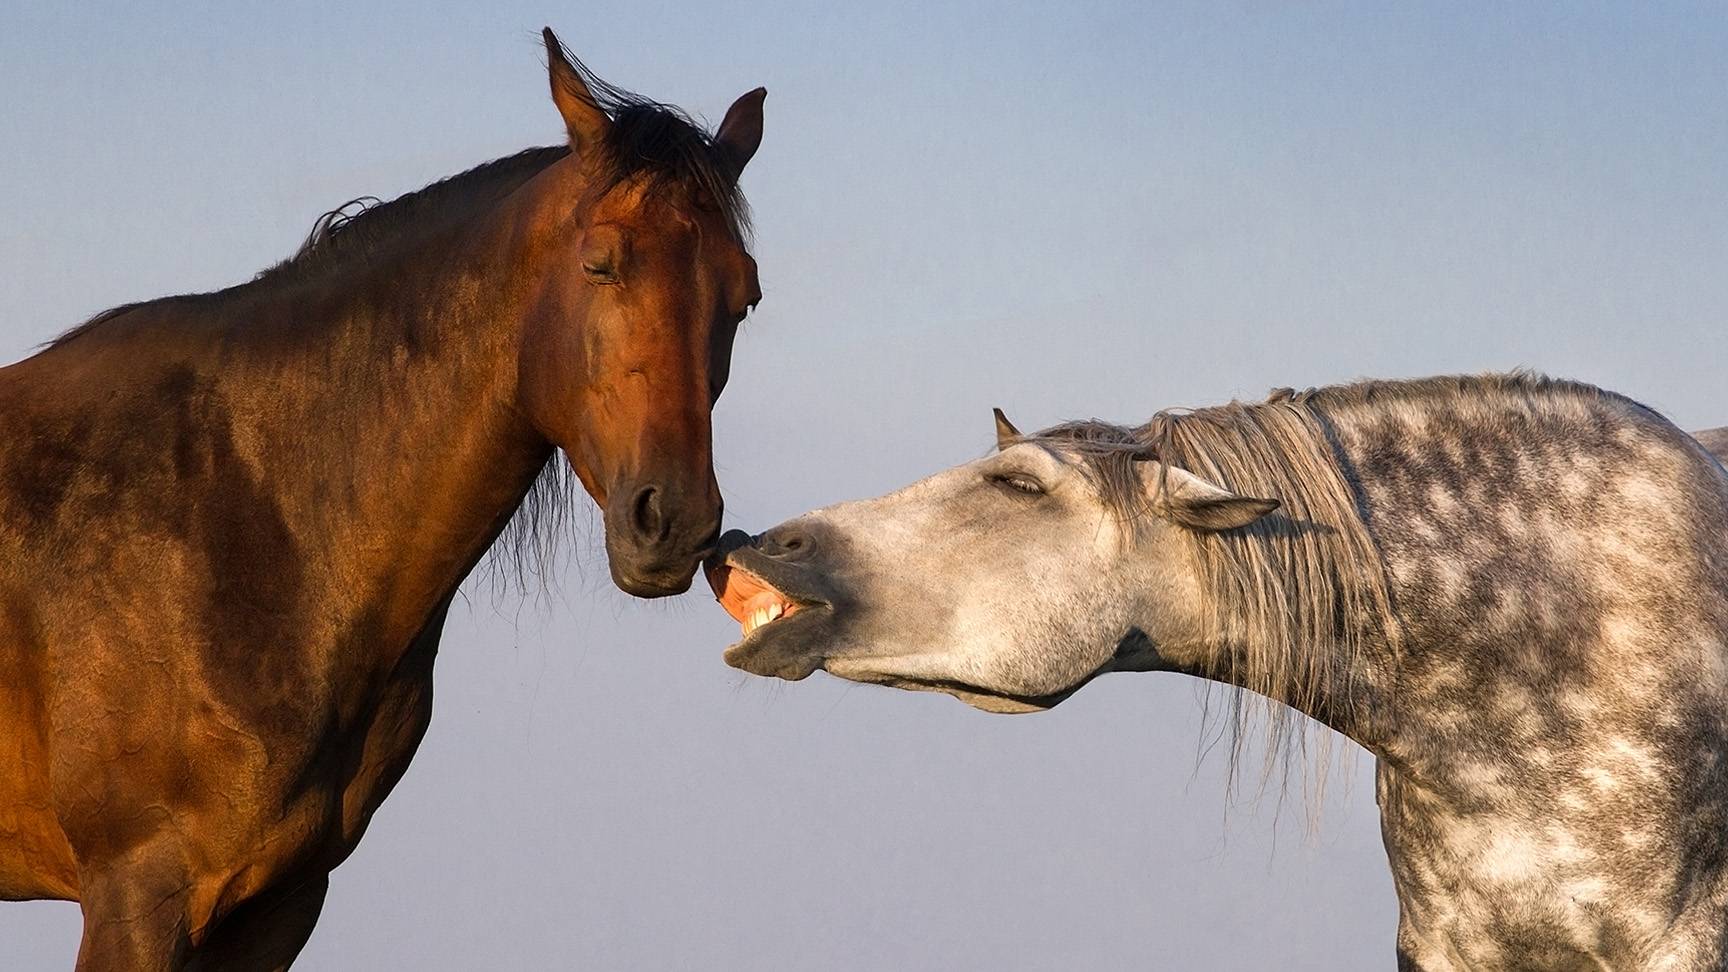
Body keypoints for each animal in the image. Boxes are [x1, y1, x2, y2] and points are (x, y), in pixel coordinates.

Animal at [0, 29, 765, 971]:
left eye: (745, 296)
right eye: (600, 263)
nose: (674, 522)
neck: (252, 518)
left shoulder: (281, 904)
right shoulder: (136, 899)